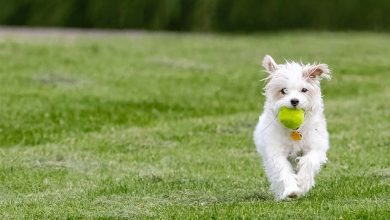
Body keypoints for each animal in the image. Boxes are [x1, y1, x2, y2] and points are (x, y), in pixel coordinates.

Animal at [253, 54, 332, 199]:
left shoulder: (316, 147)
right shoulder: (276, 152)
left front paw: (302, 182)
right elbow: (283, 169)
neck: (295, 130)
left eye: (304, 90)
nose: (294, 101)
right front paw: (291, 190)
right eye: (283, 90)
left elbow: (309, 161)